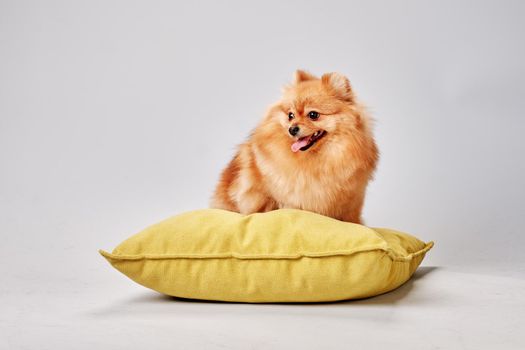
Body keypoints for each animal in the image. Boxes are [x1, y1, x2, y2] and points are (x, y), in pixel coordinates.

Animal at [211, 70, 378, 224]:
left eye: (313, 115)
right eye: (290, 115)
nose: (292, 129)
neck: (315, 161)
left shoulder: (351, 203)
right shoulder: (265, 194)